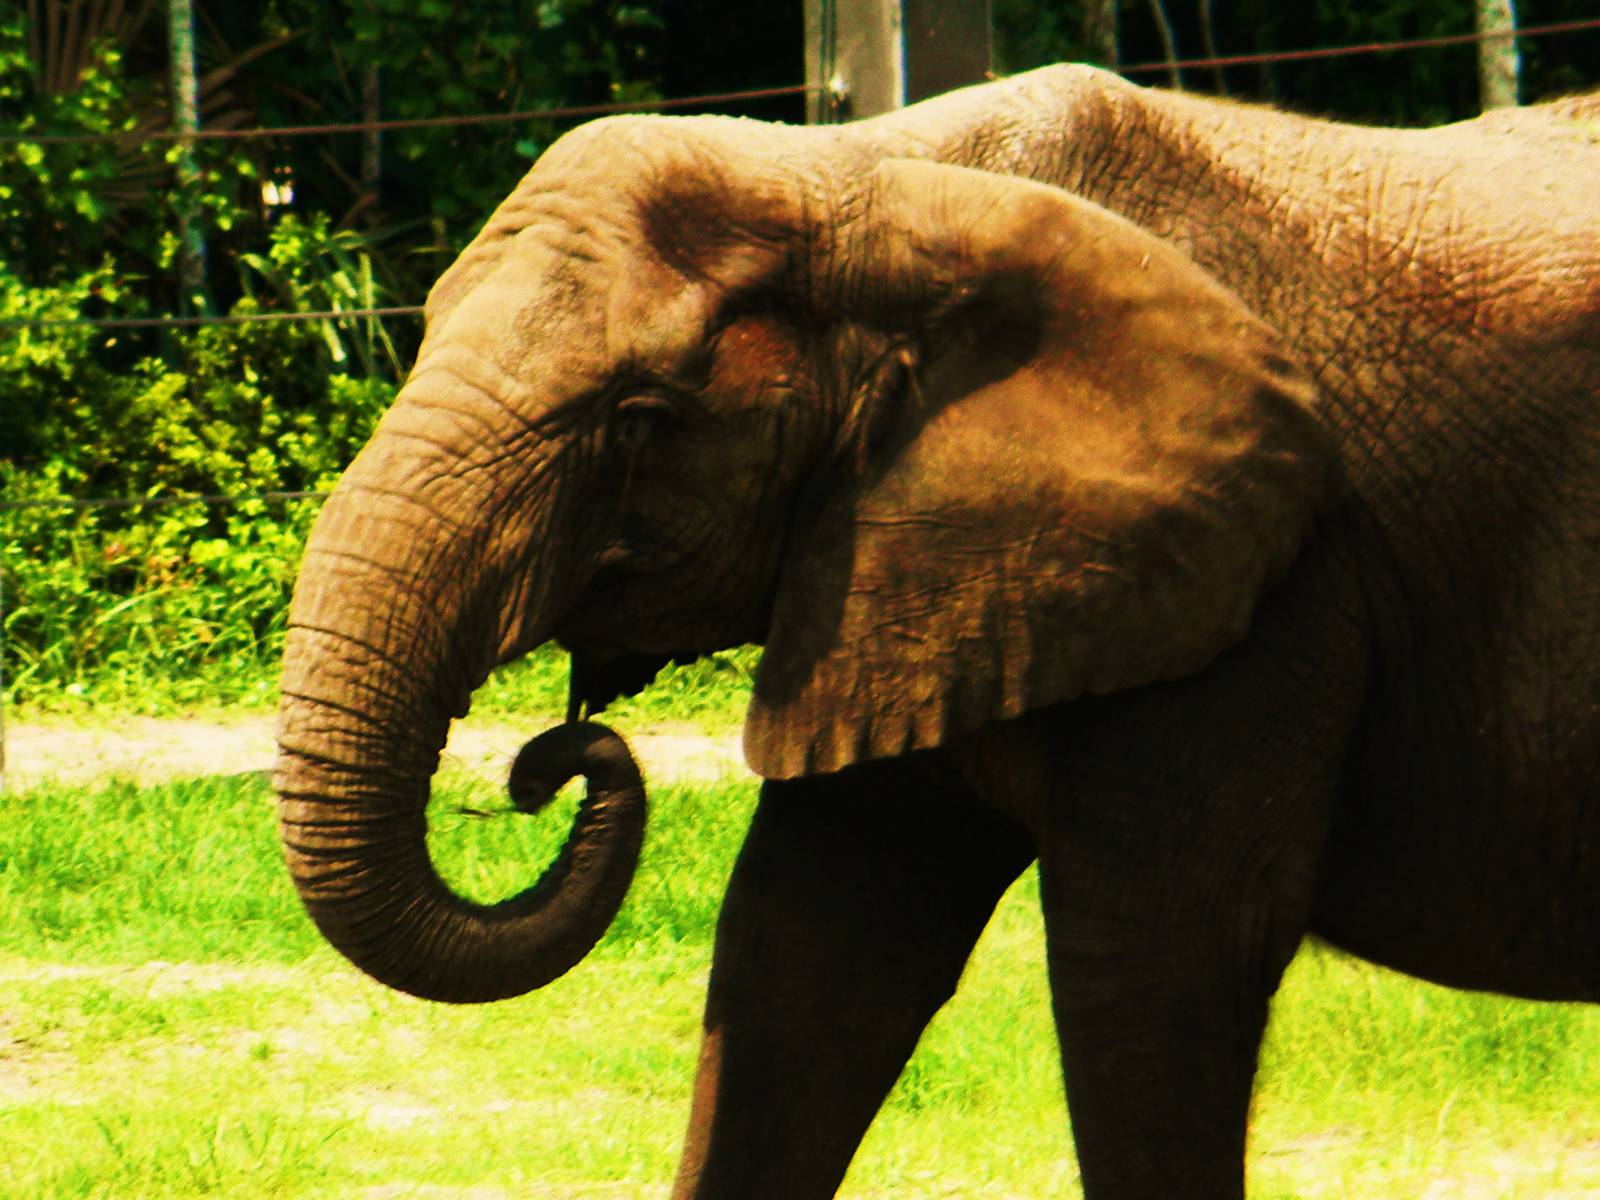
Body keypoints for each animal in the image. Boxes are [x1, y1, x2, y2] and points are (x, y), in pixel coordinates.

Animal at [274, 63, 1600, 1199]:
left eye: (640, 422)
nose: (553, 756)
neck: (864, 179)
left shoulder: (1267, 595)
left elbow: (1153, 966)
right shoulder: (902, 553)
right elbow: (809, 947)